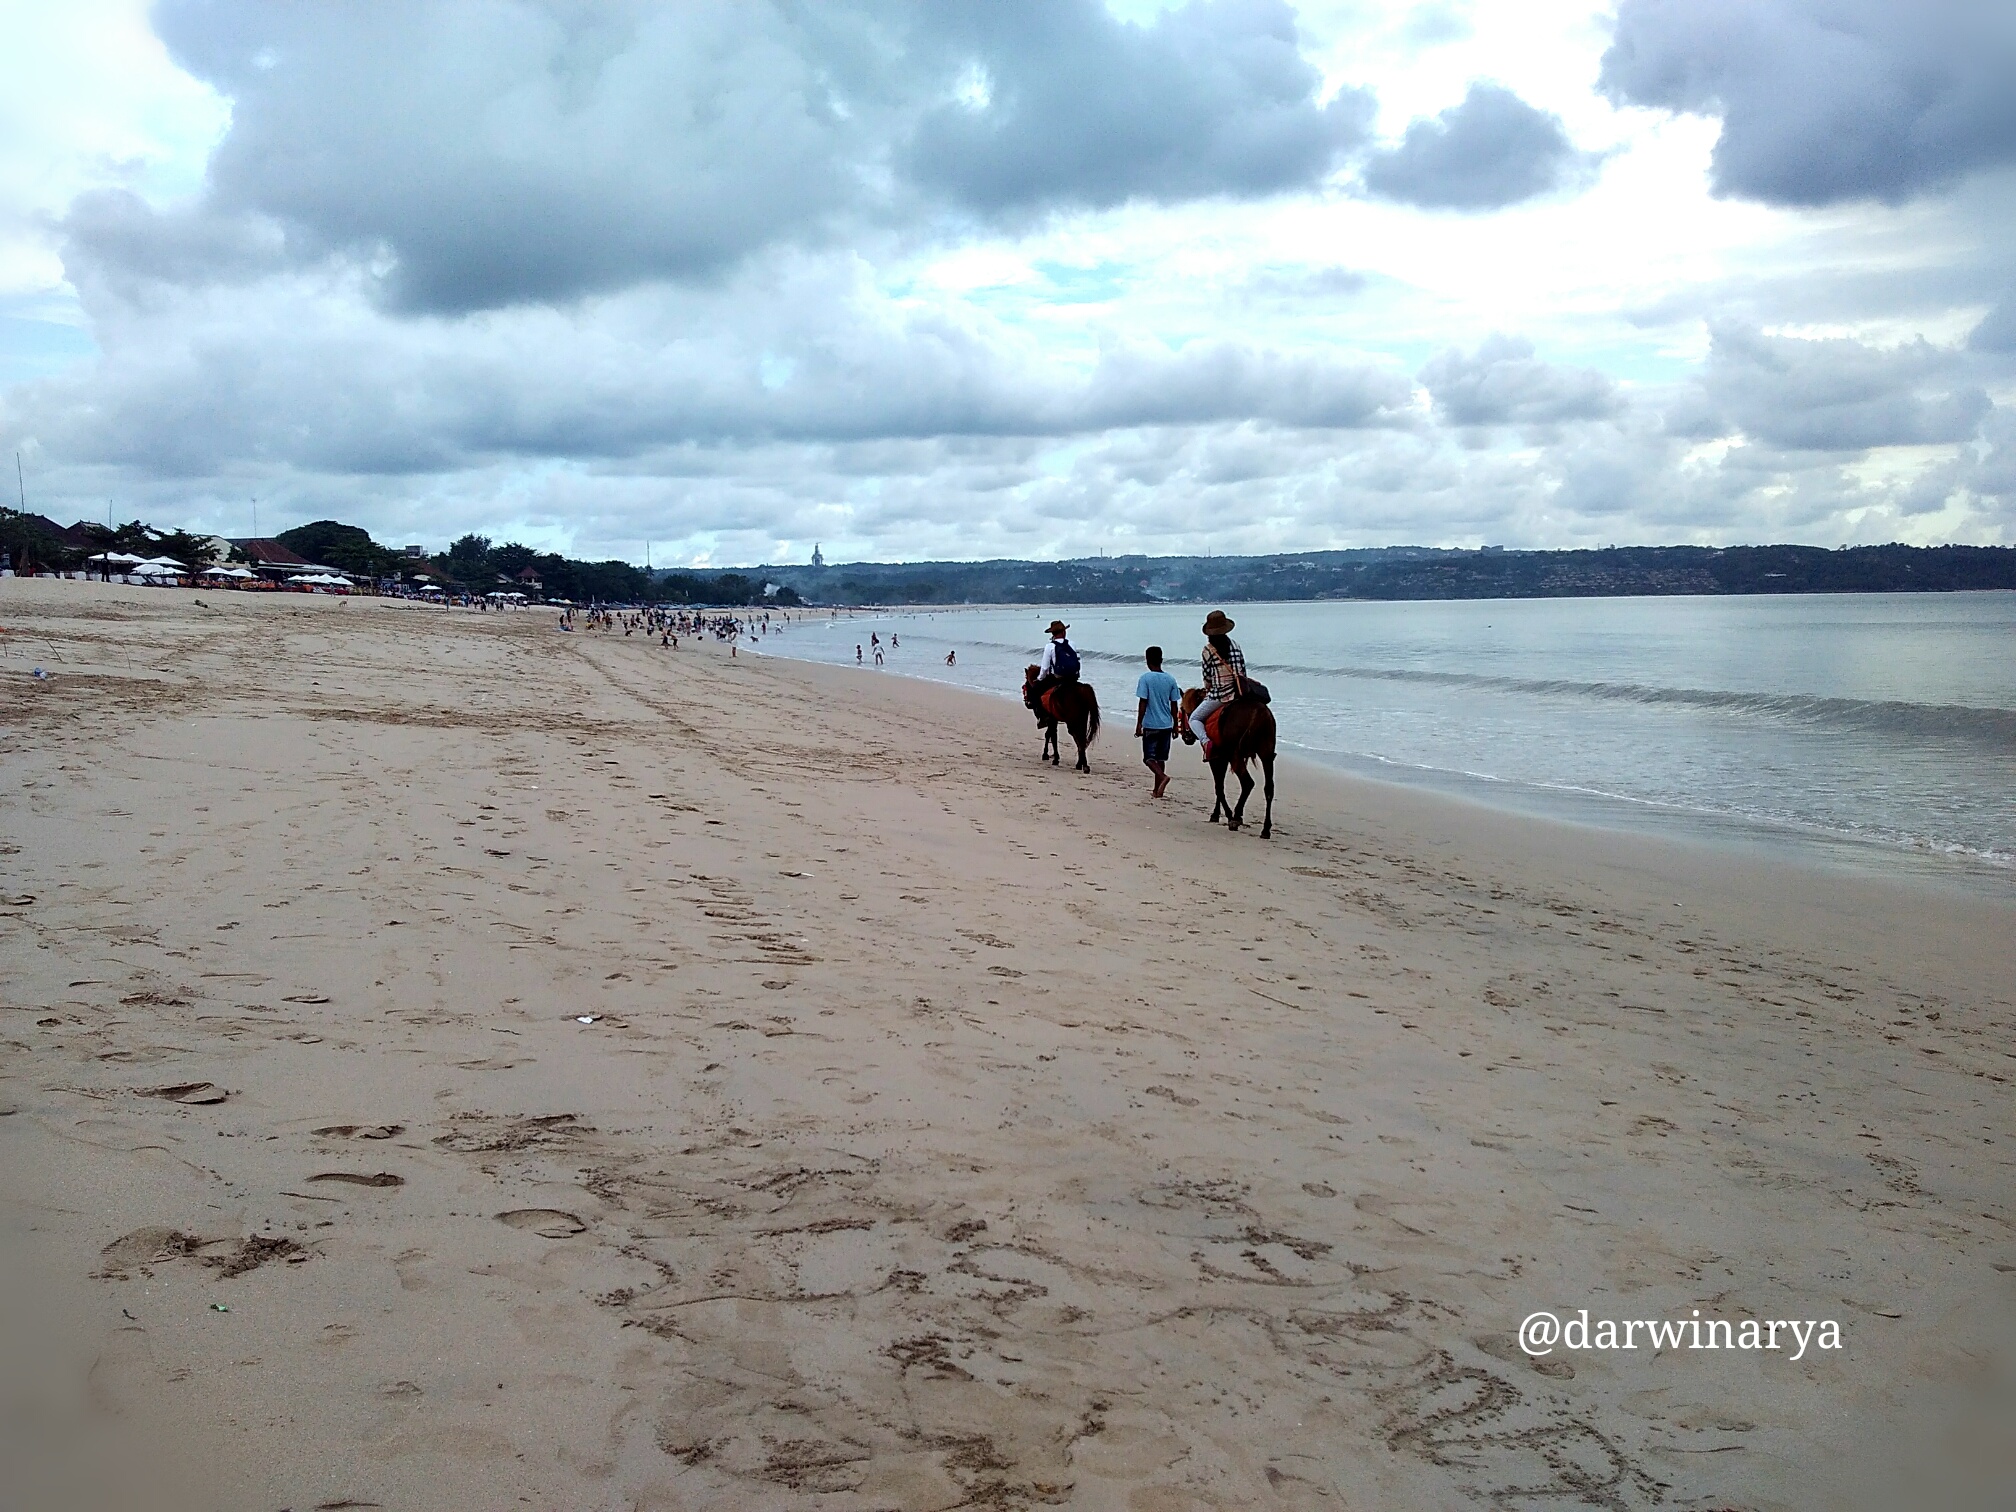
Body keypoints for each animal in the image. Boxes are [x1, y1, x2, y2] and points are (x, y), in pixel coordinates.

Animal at [1177, 689, 1274, 842]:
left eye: (1183, 710)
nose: (1186, 737)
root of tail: (1259, 712)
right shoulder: (1221, 758)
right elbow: (1219, 786)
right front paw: (1217, 814)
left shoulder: (1215, 758)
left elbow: (1219, 787)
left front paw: (1226, 815)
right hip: (1267, 755)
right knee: (1269, 788)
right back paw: (1265, 828)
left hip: (1237, 756)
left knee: (1248, 783)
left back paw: (1236, 817)